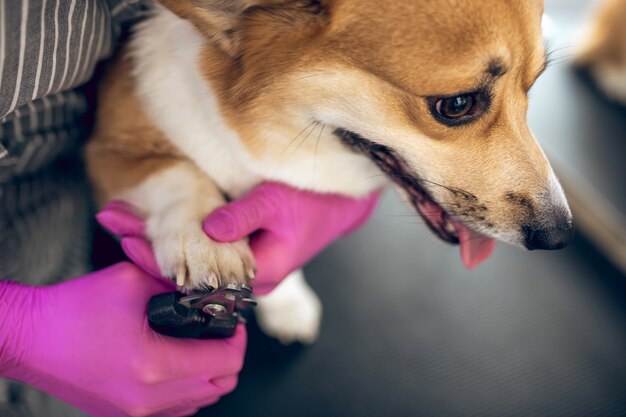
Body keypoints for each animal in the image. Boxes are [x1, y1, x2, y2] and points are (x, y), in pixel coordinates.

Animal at [85, 0, 572, 342]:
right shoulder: (107, 148)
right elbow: (179, 175)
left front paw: (283, 299)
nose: (560, 236)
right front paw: (204, 239)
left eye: (532, 87)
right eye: (456, 105)